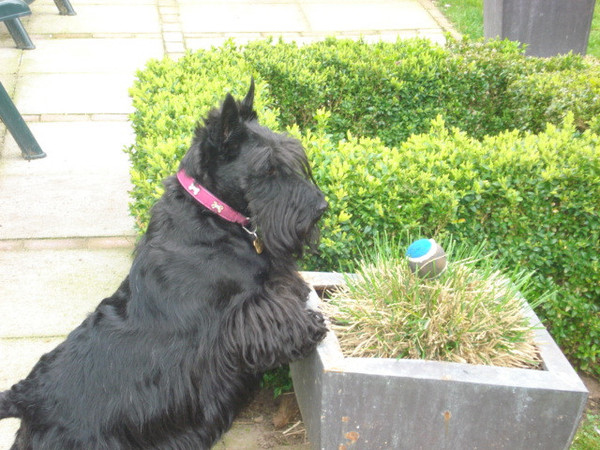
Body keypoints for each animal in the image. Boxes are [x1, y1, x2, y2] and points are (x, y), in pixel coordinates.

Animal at [0, 80, 328, 449]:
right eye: (268, 168)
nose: (322, 207)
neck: (211, 215)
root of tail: (25, 398)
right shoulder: (245, 306)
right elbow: (278, 321)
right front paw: (311, 326)